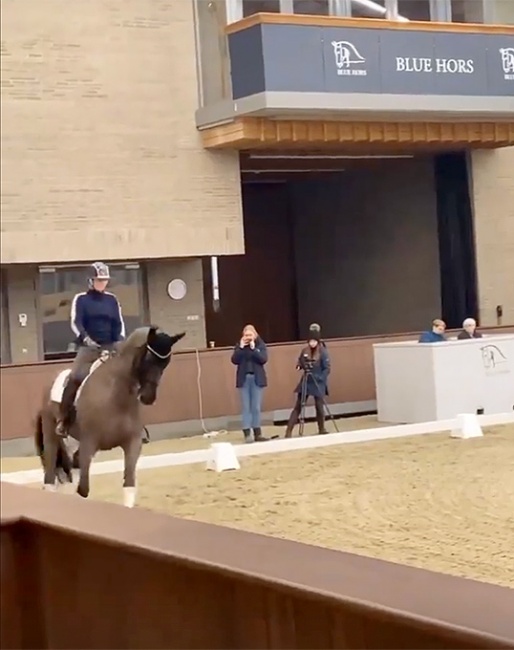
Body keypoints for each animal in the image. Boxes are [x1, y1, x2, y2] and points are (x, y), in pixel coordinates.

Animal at [34, 326, 183, 504]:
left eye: (165, 363)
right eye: (147, 359)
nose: (148, 397)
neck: (116, 396)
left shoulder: (132, 443)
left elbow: (129, 485)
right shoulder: (89, 443)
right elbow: (83, 490)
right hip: (52, 437)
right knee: (50, 478)